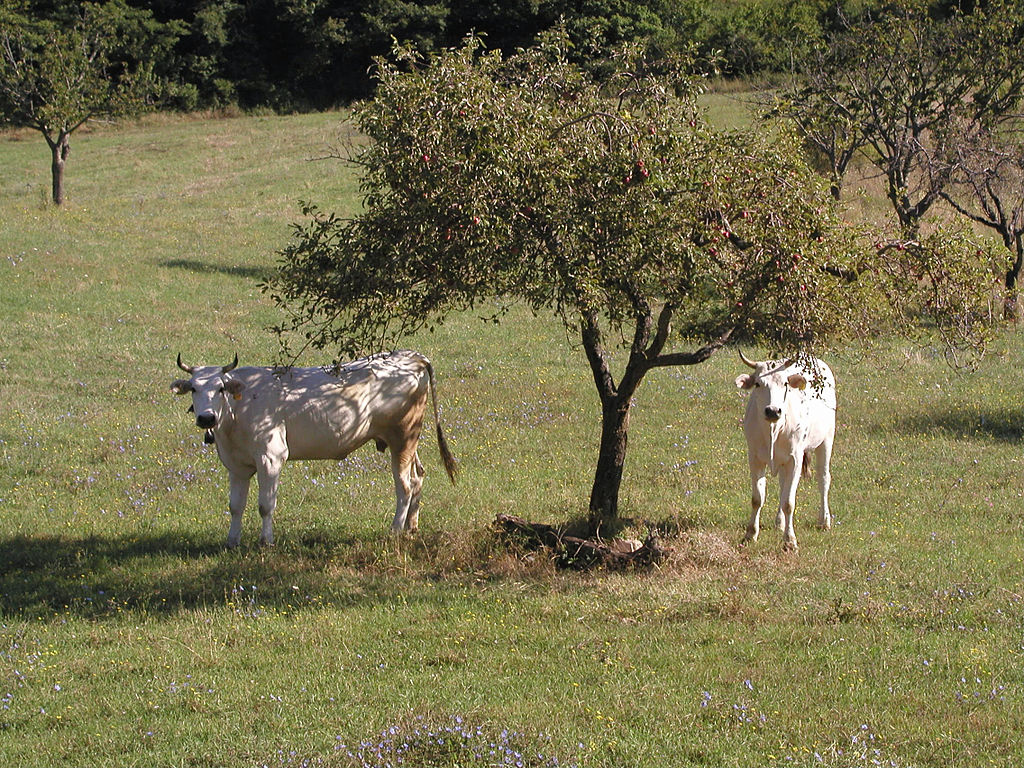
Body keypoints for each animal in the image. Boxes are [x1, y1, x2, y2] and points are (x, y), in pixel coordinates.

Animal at [733, 348, 835, 552]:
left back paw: (824, 520)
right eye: (758, 383)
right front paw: (750, 535)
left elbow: (789, 502)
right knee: (782, 484)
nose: (773, 410)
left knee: (823, 478)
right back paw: (779, 522)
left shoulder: (795, 459)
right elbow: (757, 498)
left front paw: (790, 541)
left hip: (826, 439)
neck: (774, 429)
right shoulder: (755, 458)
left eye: (786, 383)